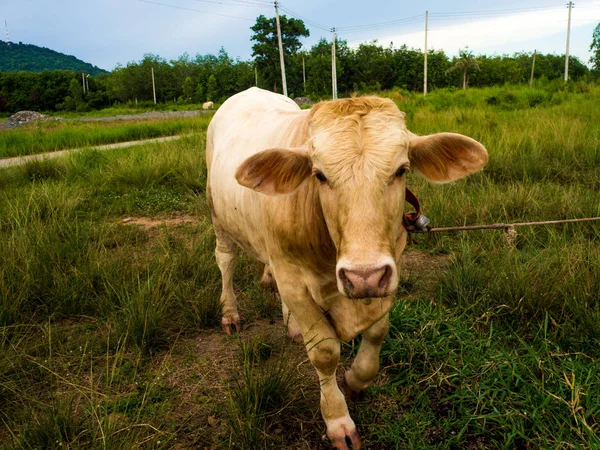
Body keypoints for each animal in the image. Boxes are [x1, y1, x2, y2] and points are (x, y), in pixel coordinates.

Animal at [206, 86, 488, 448]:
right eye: (319, 175)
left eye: (402, 170)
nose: (361, 275)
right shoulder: (294, 279)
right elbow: (325, 353)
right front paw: (338, 420)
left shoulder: (387, 272)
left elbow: (378, 332)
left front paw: (357, 380)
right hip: (218, 217)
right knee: (225, 260)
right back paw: (230, 313)